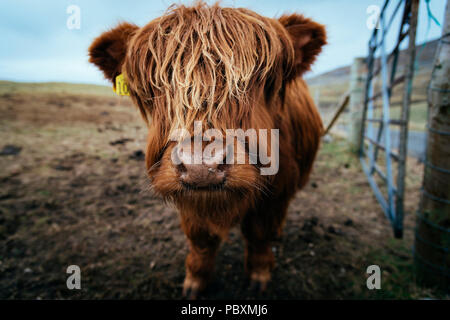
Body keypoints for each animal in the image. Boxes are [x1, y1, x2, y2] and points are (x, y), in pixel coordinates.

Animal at [89, 1, 326, 298]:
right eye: (156, 86)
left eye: (258, 80)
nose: (200, 166)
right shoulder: (191, 202)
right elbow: (201, 240)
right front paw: (195, 282)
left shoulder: (276, 191)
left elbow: (259, 233)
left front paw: (259, 275)